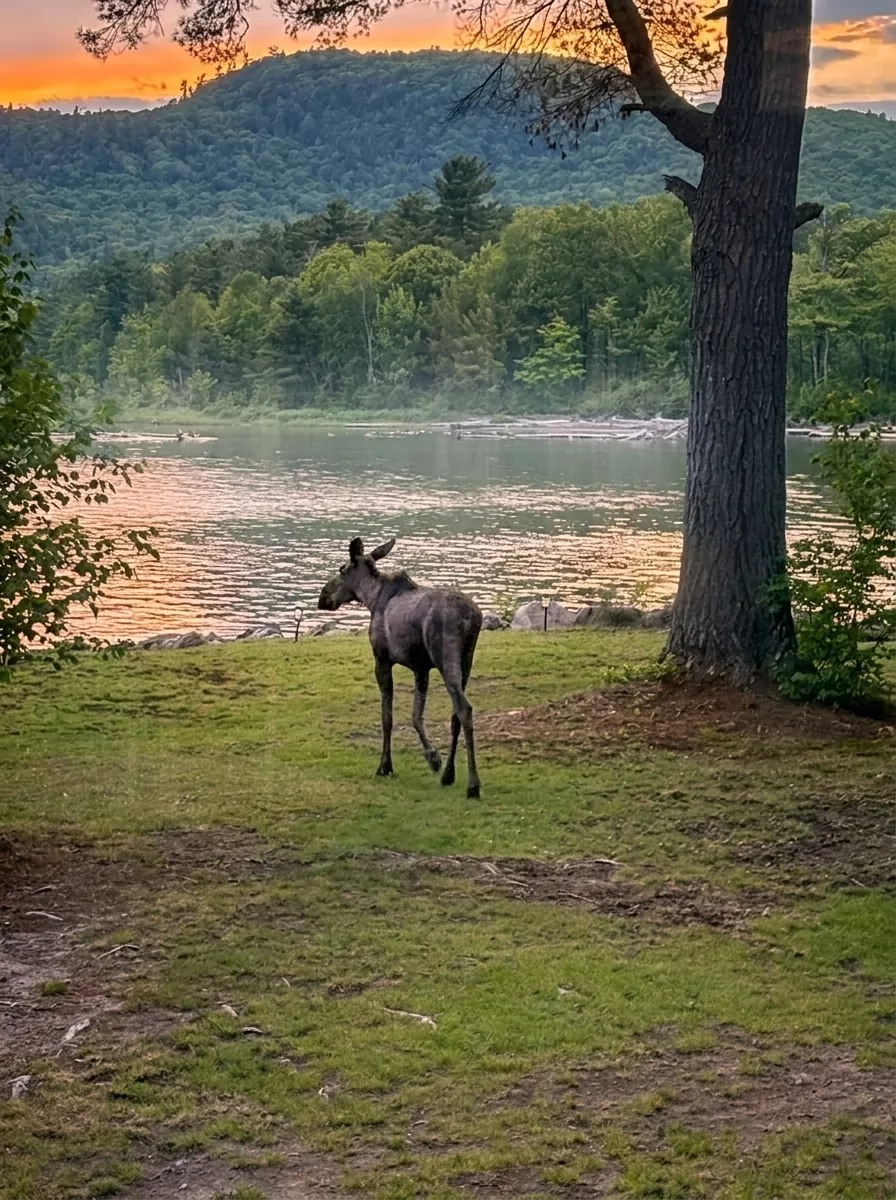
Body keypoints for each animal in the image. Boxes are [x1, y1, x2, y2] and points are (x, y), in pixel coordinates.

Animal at [318, 537, 482, 798]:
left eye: (342, 570)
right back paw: (448, 774)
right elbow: (416, 716)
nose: (322, 597)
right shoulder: (421, 668)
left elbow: (387, 717)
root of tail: (472, 617)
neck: (371, 597)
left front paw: (385, 766)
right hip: (467, 661)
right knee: (455, 714)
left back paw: (473, 785)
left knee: (464, 709)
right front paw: (433, 758)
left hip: (446, 659)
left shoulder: (382, 660)